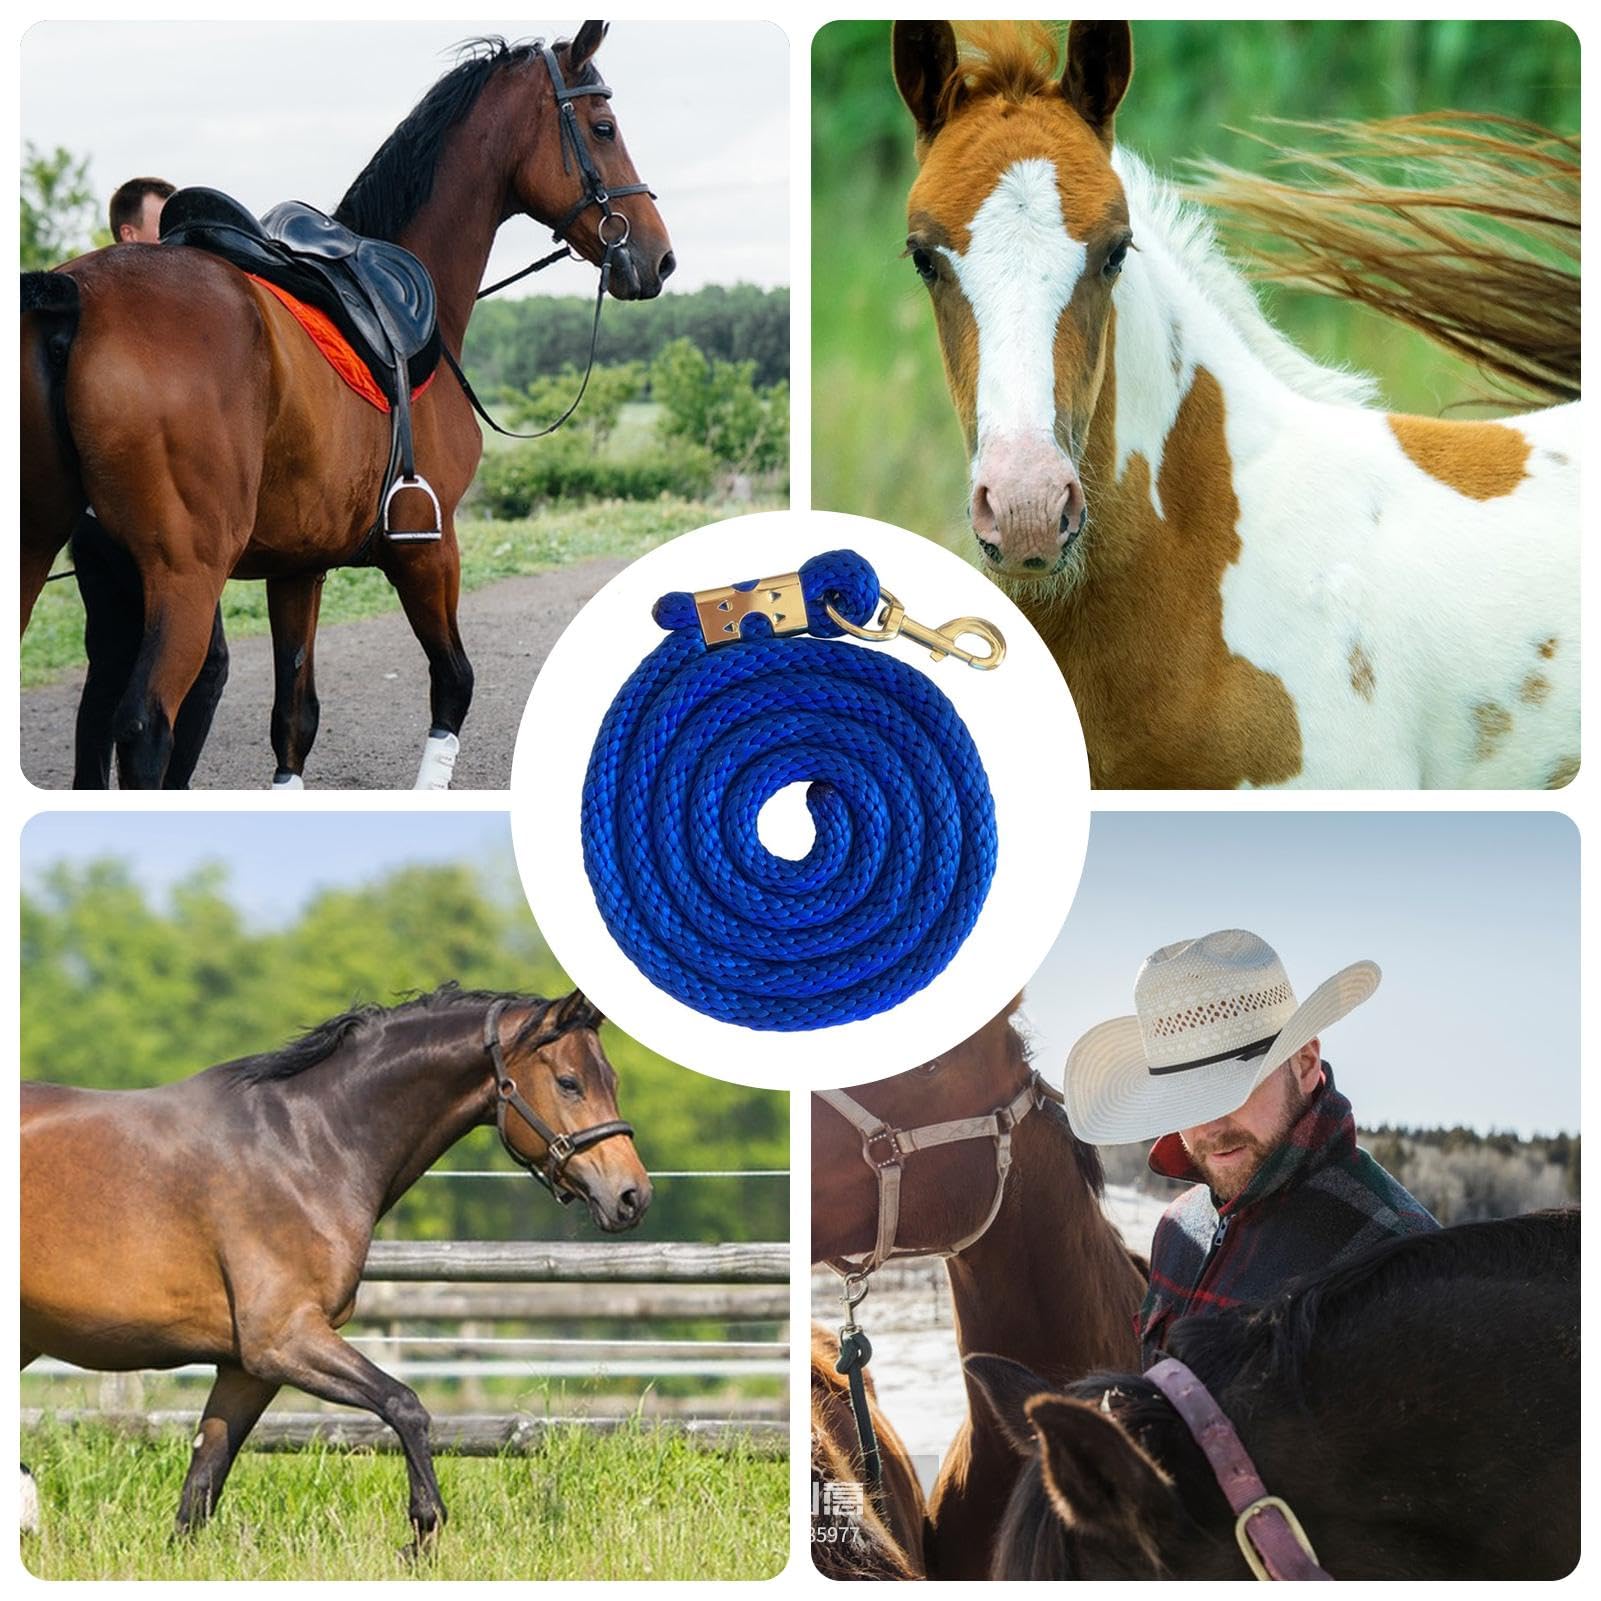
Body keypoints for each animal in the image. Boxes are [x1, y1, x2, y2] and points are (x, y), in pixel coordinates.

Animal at [20, 22, 673, 789]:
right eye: (603, 128)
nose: (658, 256)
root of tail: (75, 297)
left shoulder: (298, 569)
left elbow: (293, 722)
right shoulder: (427, 546)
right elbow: (454, 683)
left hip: (41, 551)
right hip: (185, 577)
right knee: (146, 726)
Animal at [20, 983, 650, 1546]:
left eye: (614, 1081)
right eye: (569, 1082)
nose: (632, 1196)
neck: (304, 1147)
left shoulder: (248, 1368)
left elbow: (203, 1483)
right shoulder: (284, 1339)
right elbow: (405, 1405)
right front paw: (422, 1530)